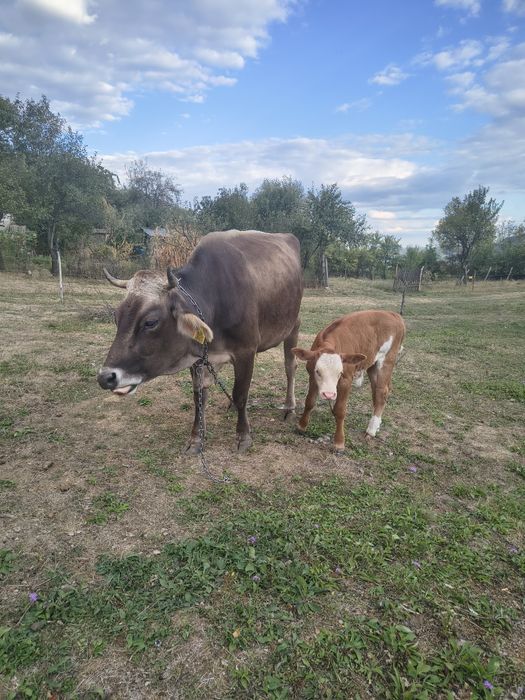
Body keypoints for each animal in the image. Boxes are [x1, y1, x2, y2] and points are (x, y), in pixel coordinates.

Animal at [97, 230, 303, 453]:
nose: (105, 377)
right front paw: (196, 438)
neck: (215, 299)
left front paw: (243, 437)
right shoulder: (199, 358)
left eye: (150, 322)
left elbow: (241, 394)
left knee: (290, 367)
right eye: (116, 317)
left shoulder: (246, 351)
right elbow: (199, 397)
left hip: (293, 326)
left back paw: (289, 407)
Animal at [292, 310, 405, 452]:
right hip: (372, 364)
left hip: (387, 360)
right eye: (318, 371)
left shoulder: (346, 380)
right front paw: (301, 426)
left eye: (340, 373)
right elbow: (309, 402)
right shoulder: (312, 377)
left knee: (381, 392)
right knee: (377, 391)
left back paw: (371, 430)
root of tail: (393, 314)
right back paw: (377, 423)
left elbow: (340, 410)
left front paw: (339, 442)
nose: (329, 394)